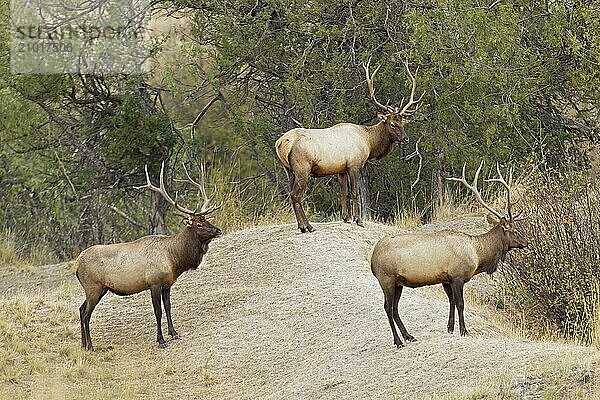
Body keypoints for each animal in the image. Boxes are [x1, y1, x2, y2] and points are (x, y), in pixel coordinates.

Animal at [76, 162, 221, 350]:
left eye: (207, 220)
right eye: (199, 224)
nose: (218, 230)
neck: (174, 259)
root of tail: (76, 265)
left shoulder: (167, 283)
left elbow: (168, 307)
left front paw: (174, 333)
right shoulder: (154, 282)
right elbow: (157, 312)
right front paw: (161, 340)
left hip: (99, 289)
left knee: (80, 309)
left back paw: (83, 345)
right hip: (93, 287)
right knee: (86, 313)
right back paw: (90, 346)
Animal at [274, 60, 424, 234]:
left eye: (403, 123)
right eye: (392, 124)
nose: (406, 139)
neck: (368, 142)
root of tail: (281, 143)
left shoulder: (341, 169)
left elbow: (343, 192)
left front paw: (345, 218)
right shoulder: (354, 165)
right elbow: (354, 192)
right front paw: (358, 220)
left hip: (288, 170)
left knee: (292, 195)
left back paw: (302, 226)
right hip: (302, 168)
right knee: (296, 195)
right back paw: (308, 226)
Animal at [368, 162, 528, 346]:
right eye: (514, 231)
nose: (526, 242)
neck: (477, 255)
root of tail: (372, 258)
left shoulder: (446, 278)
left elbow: (451, 301)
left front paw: (450, 328)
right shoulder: (458, 275)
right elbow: (460, 303)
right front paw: (464, 330)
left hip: (398, 282)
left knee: (395, 308)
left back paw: (409, 336)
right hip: (386, 278)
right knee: (388, 307)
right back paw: (398, 341)